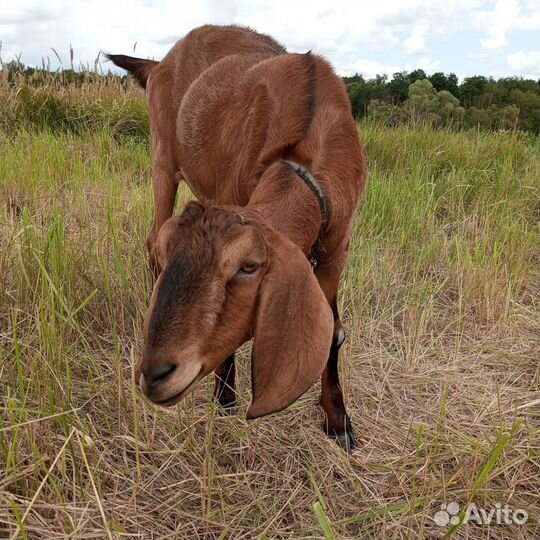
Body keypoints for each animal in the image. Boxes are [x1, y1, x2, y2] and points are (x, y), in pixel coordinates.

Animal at [110, 24, 372, 452]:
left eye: (248, 266)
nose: (155, 374)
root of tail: (159, 63)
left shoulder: (338, 246)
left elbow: (333, 330)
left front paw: (338, 423)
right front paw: (224, 400)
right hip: (163, 158)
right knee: (149, 237)